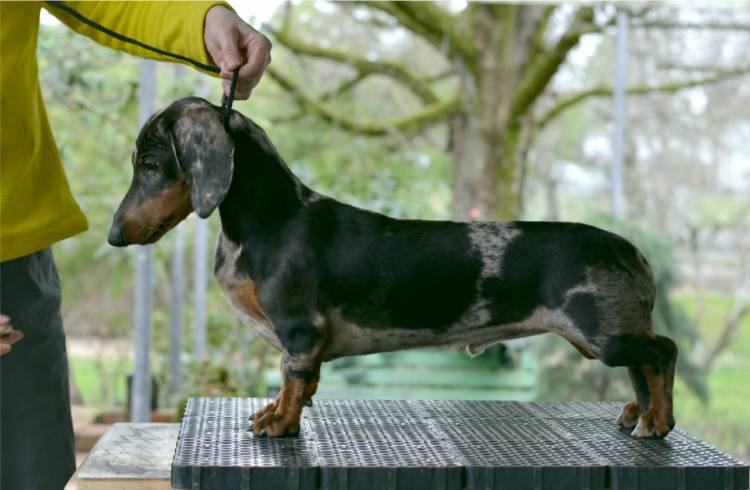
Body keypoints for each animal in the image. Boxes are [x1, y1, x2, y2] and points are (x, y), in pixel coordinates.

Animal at [108, 96, 680, 440]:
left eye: (151, 164)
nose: (114, 236)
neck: (273, 218)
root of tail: (634, 251)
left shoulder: (299, 332)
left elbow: (292, 380)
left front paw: (280, 422)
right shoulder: (308, 342)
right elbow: (303, 382)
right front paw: (277, 413)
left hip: (606, 337)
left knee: (664, 353)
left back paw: (658, 420)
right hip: (613, 337)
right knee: (645, 366)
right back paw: (639, 413)